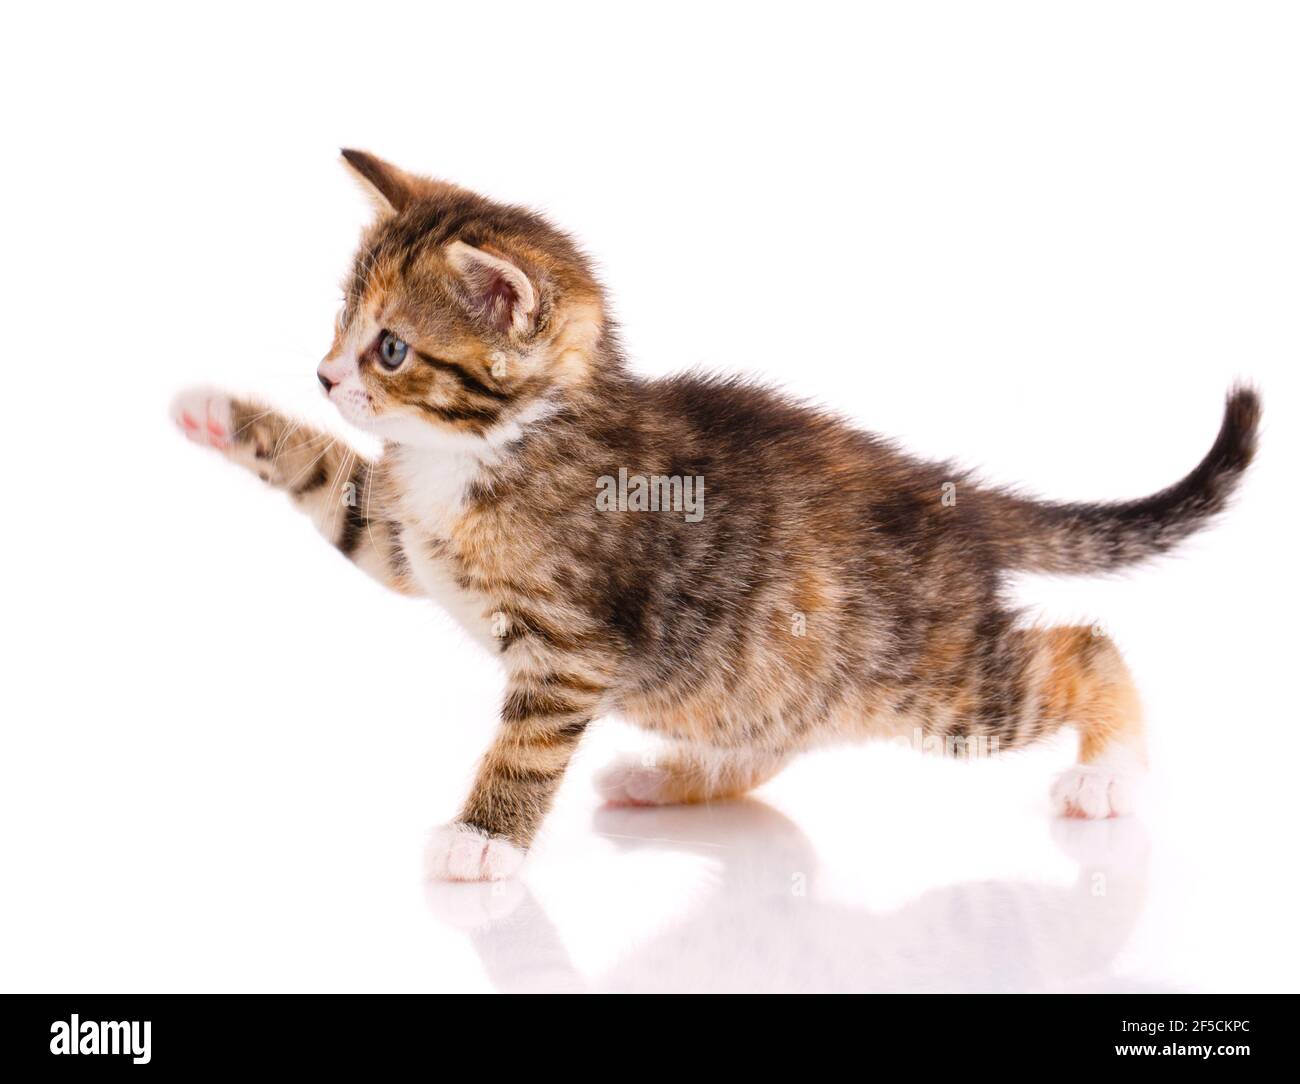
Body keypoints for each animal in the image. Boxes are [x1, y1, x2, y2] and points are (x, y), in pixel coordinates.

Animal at [172, 150, 1258, 878]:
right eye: (340, 323)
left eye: (390, 349)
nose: (323, 376)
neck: (492, 445)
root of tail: (952, 494)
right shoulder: (407, 541)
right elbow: (336, 485)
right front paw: (217, 413)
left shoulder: (570, 652)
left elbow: (524, 746)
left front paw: (482, 842)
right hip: (775, 671)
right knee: (766, 733)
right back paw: (672, 778)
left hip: (936, 687)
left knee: (1081, 650)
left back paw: (1109, 772)